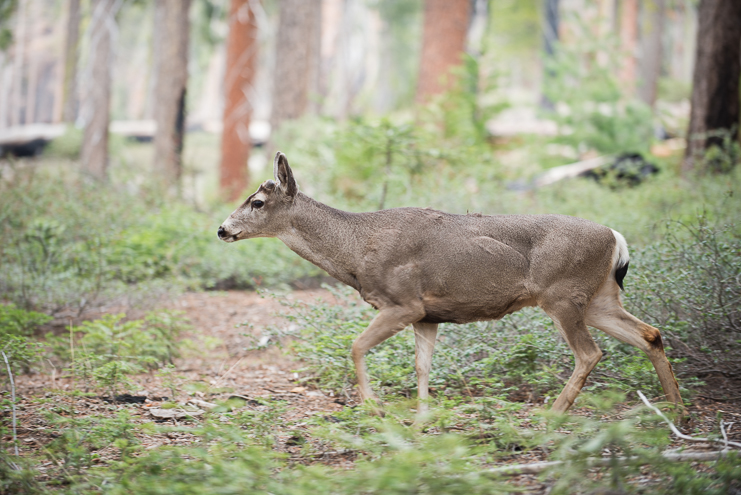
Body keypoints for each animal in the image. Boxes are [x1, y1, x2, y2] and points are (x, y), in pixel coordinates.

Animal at [218, 153, 684, 416]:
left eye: (257, 202)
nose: (222, 229)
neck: (356, 251)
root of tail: (616, 237)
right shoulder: (428, 315)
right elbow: (422, 365)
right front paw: (422, 418)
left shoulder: (403, 302)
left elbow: (356, 346)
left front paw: (372, 407)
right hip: (599, 298)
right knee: (650, 334)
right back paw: (677, 412)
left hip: (562, 295)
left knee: (590, 353)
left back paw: (553, 415)